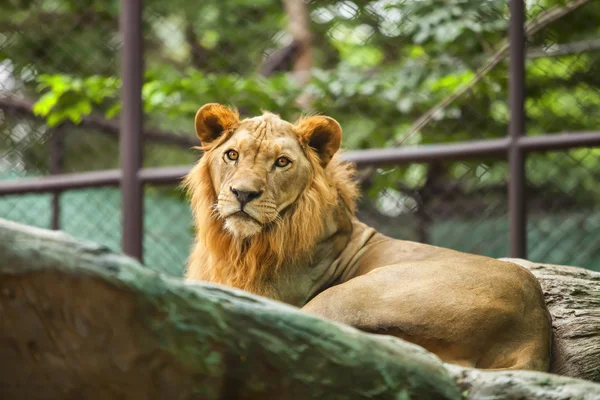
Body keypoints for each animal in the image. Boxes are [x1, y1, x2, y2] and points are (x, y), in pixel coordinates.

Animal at [184, 103, 552, 372]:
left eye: (282, 162)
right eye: (232, 155)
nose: (243, 194)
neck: (238, 246)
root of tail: (535, 330)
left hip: (342, 298)